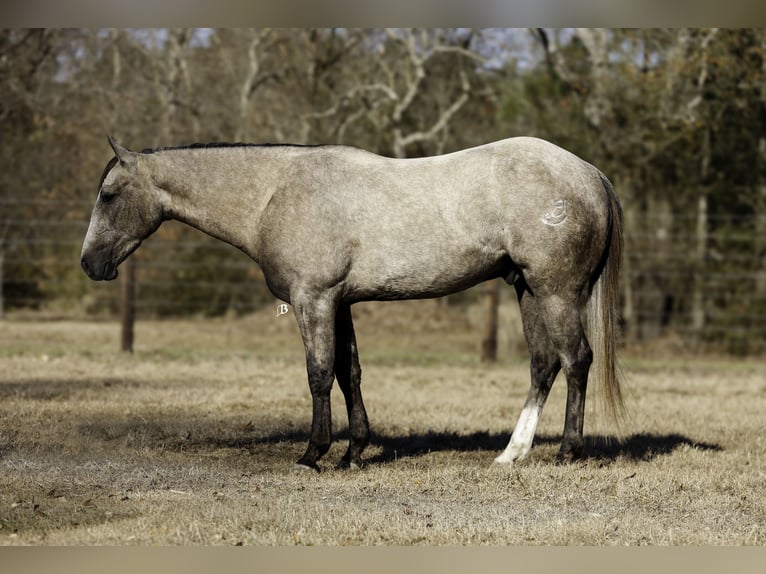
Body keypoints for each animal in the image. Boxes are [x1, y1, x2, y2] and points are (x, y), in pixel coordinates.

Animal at [82, 137, 624, 474]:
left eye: (108, 195)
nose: (90, 263)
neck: (275, 194)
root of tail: (589, 172)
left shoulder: (314, 299)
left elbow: (320, 374)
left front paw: (313, 454)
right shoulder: (339, 303)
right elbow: (350, 372)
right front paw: (353, 452)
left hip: (555, 292)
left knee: (576, 361)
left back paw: (567, 452)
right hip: (527, 291)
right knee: (543, 366)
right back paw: (512, 453)